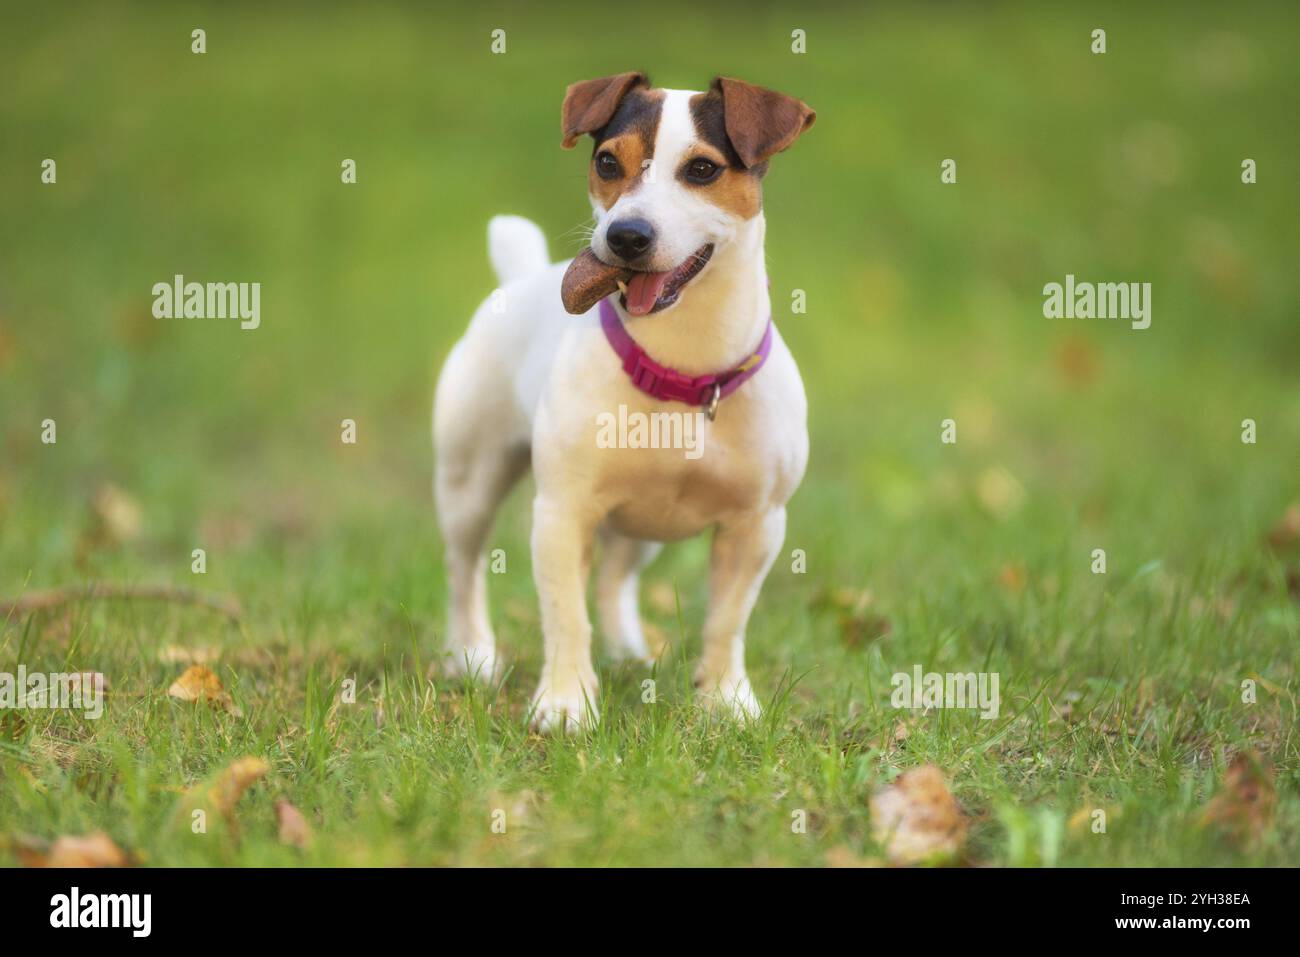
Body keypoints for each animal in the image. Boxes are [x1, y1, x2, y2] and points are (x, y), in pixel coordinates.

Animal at [441, 72, 816, 733]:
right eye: (608, 162)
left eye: (702, 169)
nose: (626, 235)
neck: (680, 369)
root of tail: (522, 276)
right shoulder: (561, 513)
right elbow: (565, 615)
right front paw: (566, 703)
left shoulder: (757, 524)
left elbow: (727, 620)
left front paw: (725, 698)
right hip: (469, 482)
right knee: (465, 568)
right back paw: (471, 655)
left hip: (643, 523)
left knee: (616, 577)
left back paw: (627, 653)